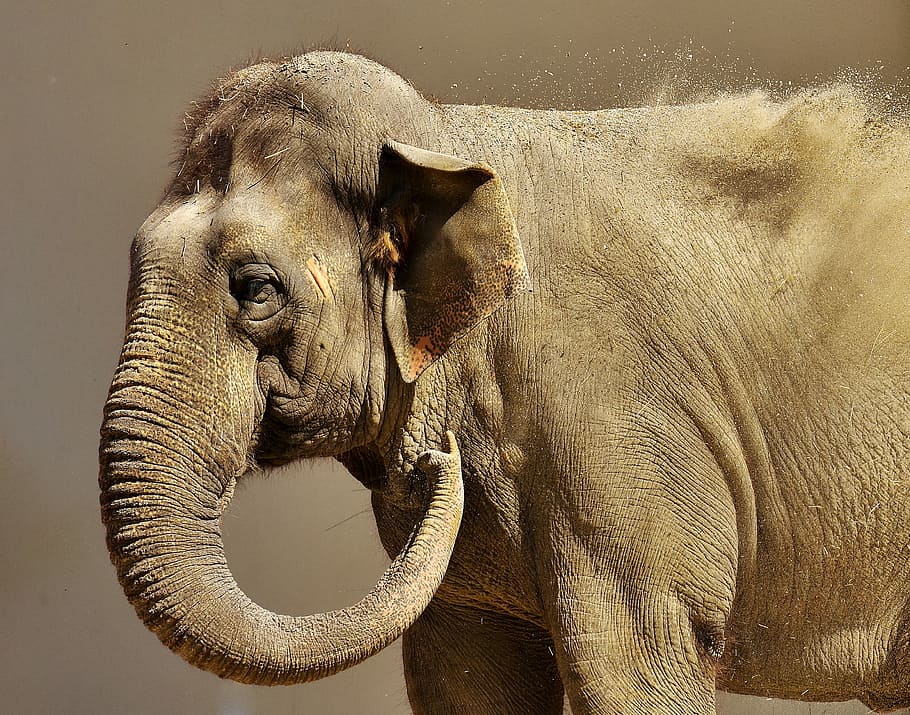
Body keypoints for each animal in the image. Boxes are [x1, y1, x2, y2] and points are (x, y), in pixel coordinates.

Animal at [99, 51, 910, 713]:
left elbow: (630, 661)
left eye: (257, 288)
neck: (446, 136)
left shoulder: (619, 428)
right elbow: (468, 675)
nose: (438, 462)